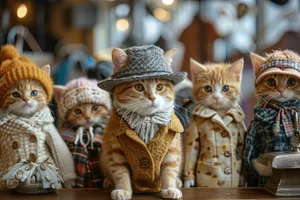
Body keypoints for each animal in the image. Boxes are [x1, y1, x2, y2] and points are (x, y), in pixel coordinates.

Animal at [98, 45, 186, 200]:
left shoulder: (172, 150)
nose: (152, 97)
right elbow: (120, 173)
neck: (147, 120)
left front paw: (170, 188)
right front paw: (123, 190)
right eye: (138, 87)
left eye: (159, 87)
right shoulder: (115, 151)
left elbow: (169, 170)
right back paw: (108, 181)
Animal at [183, 58, 246, 188]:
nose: (216, 97)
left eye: (225, 88)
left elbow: (242, 146)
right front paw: (188, 181)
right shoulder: (193, 125)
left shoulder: (241, 127)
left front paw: (243, 178)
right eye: (208, 88)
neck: (220, 112)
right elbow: (192, 147)